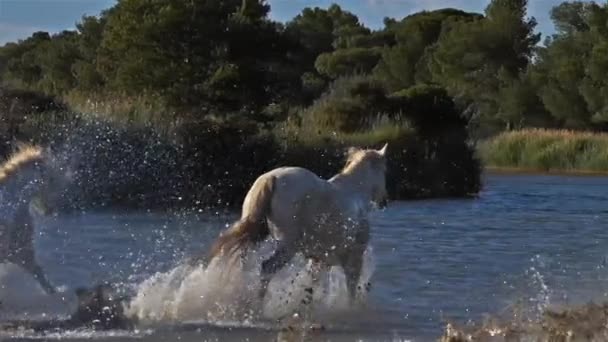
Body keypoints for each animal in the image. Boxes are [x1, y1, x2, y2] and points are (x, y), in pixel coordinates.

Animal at [207, 144, 388, 302]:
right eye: (384, 171)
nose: (384, 201)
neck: (355, 193)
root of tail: (271, 178)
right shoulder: (354, 258)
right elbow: (351, 290)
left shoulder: (320, 260)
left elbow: (313, 289)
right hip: (288, 246)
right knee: (266, 268)